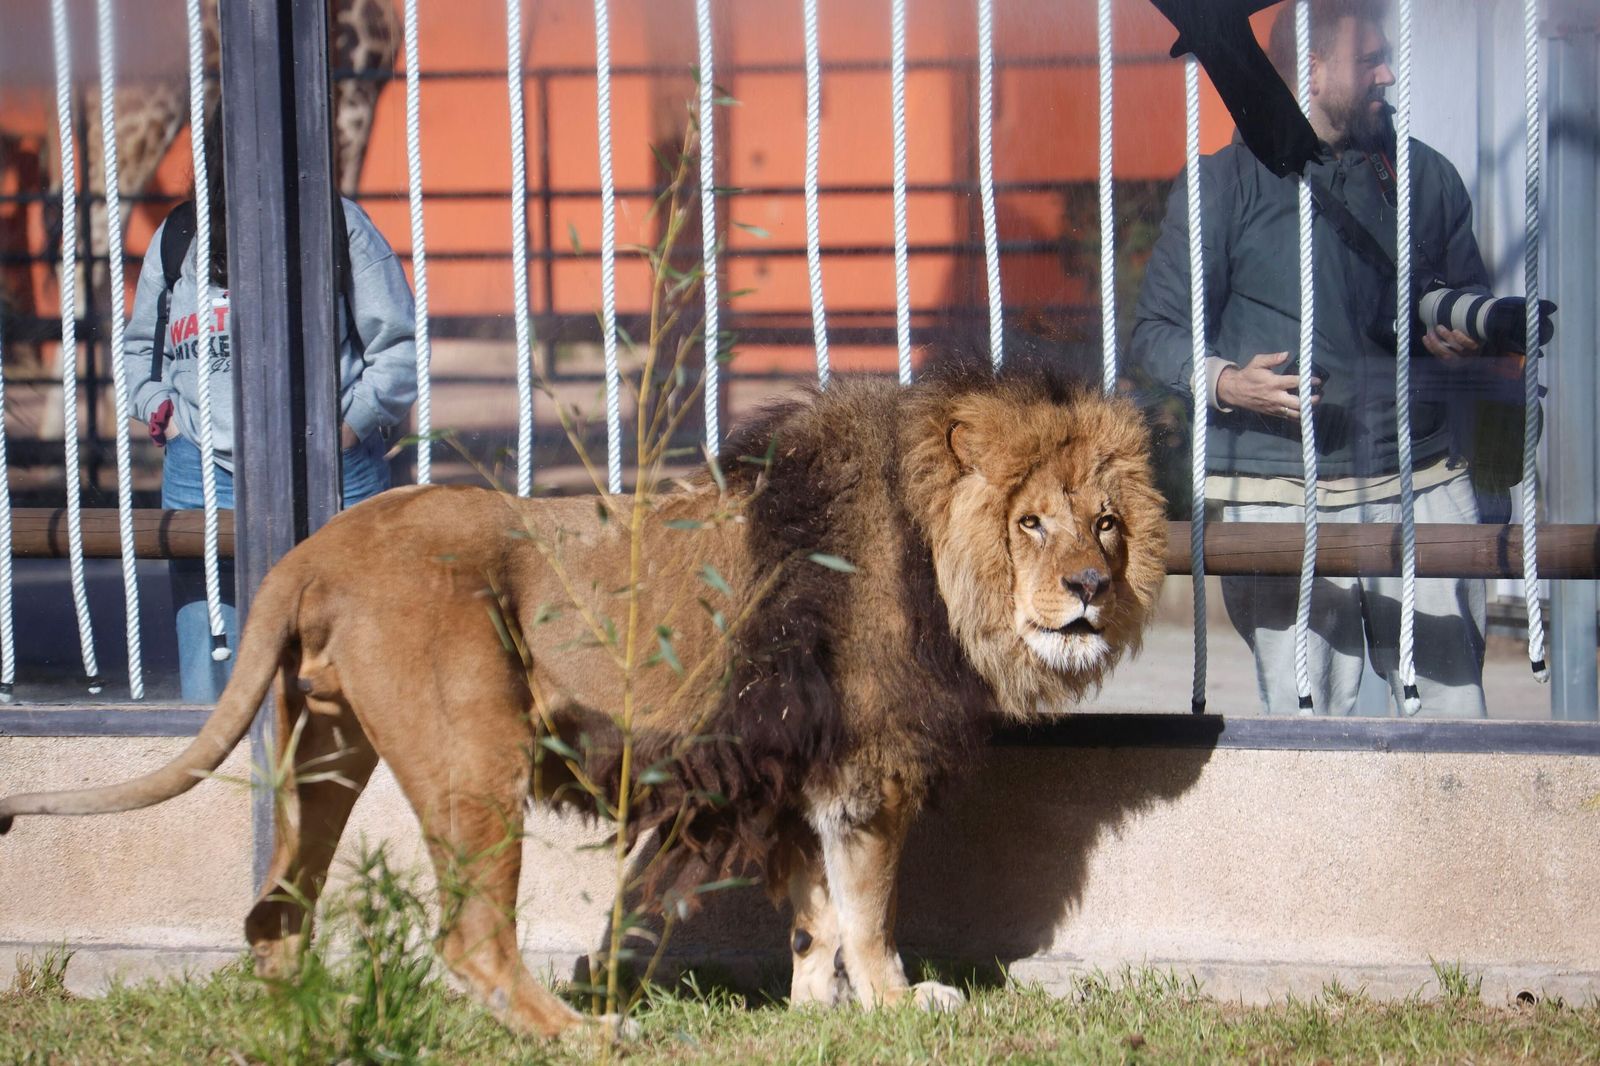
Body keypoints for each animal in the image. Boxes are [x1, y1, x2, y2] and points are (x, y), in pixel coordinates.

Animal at [0, 365, 1166, 1038]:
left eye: (1106, 523)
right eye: (1031, 522)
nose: (1090, 590)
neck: (938, 560)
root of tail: (314, 545)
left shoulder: (782, 760)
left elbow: (815, 911)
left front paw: (813, 1013)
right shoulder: (864, 770)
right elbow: (868, 908)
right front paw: (893, 1006)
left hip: (323, 749)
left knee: (277, 909)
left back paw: (308, 1027)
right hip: (474, 754)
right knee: (471, 939)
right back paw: (583, 1034)